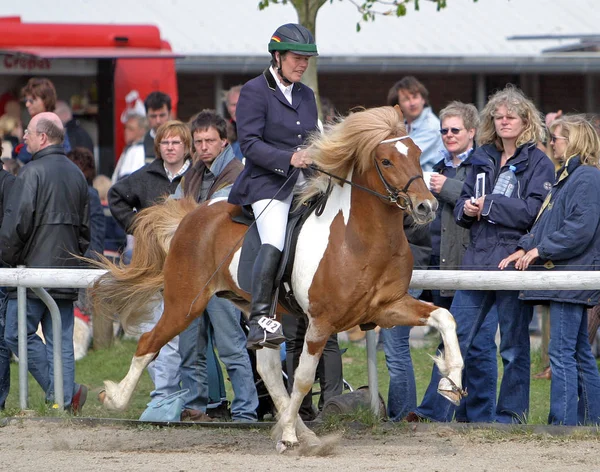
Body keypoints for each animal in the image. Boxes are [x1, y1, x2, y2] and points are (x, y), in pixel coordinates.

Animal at [88, 106, 464, 454]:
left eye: (417, 152)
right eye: (386, 161)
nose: (426, 207)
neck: (360, 238)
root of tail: (193, 214)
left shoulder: (387, 307)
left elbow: (445, 316)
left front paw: (451, 382)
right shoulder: (321, 323)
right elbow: (303, 378)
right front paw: (286, 436)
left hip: (262, 313)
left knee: (266, 369)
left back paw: (301, 431)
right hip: (185, 304)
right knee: (148, 342)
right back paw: (115, 398)